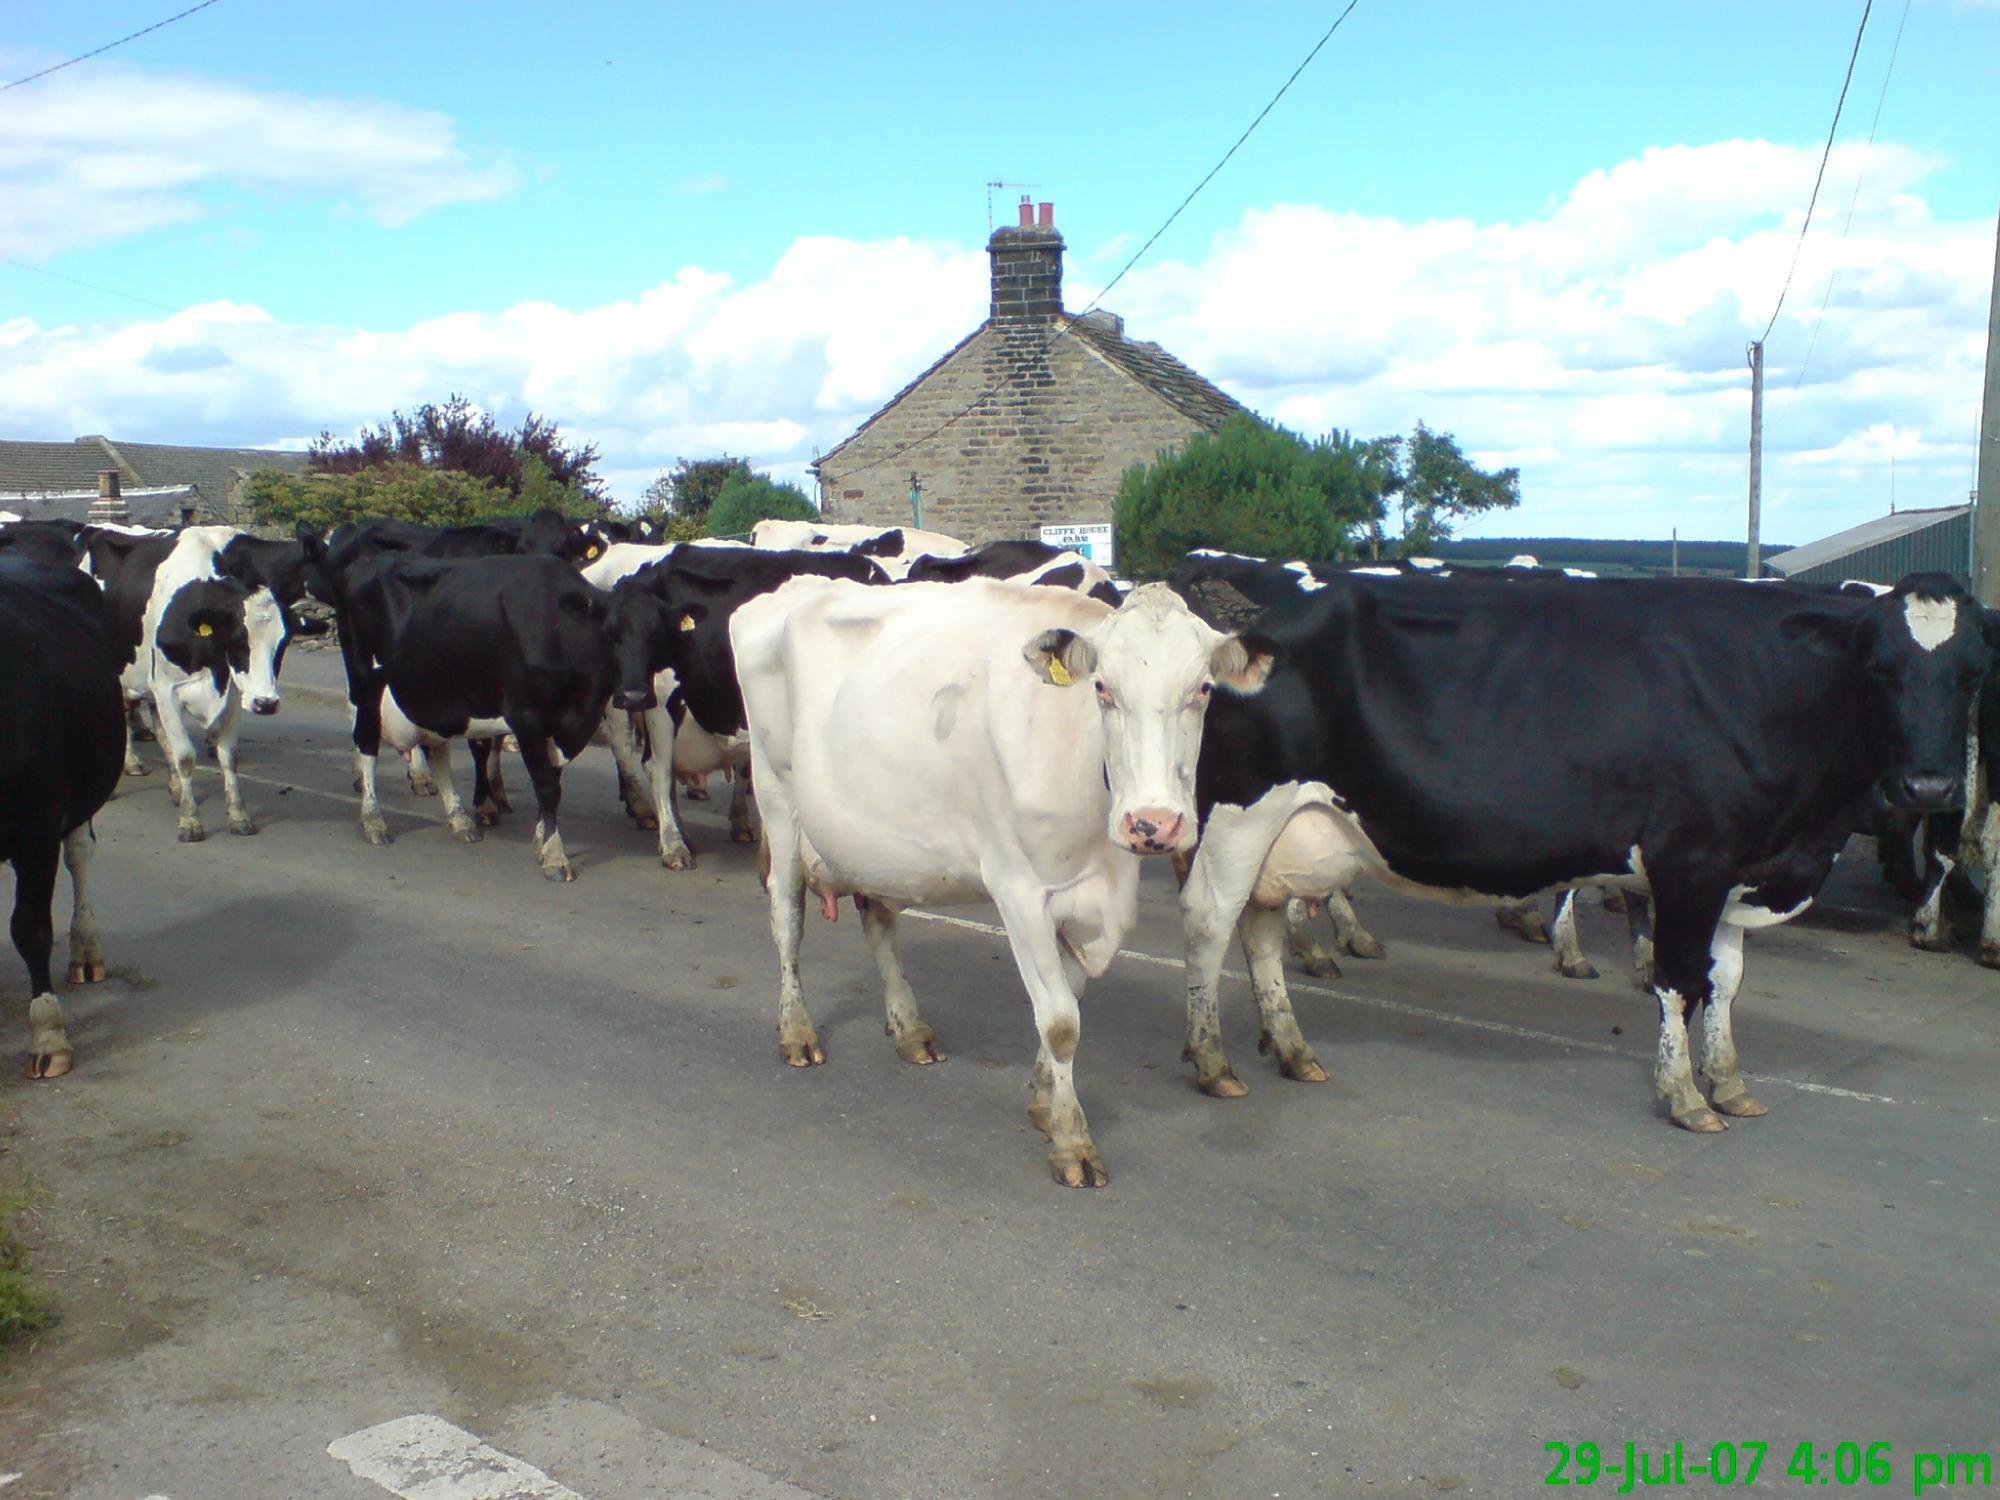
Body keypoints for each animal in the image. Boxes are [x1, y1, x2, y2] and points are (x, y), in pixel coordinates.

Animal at [301, 535, 614, 880]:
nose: (636, 694)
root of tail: (369, 563)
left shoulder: (560, 726)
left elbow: (550, 779)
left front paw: (541, 839)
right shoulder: (527, 718)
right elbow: (546, 786)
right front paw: (554, 855)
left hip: (431, 692)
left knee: (436, 748)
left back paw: (459, 818)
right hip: (365, 678)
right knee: (366, 739)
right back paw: (373, 820)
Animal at [732, 577, 1275, 1187]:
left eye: (1203, 688)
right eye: (1102, 687)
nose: (1153, 823)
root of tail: (798, 584)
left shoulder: (1096, 901)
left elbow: (1069, 1000)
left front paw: (1043, 1100)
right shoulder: (1020, 891)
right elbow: (1061, 1021)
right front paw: (1072, 1139)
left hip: (877, 843)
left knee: (878, 919)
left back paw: (909, 1028)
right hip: (776, 793)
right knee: (787, 916)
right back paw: (797, 1032)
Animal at [1178, 570, 1995, 1134]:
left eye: (1971, 673)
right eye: (1878, 670)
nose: (1928, 785)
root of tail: (1253, 627)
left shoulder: (1742, 871)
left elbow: (1726, 983)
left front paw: (1730, 1082)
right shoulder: (1690, 861)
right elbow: (1679, 982)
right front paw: (1685, 1096)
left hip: (1280, 836)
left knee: (1260, 932)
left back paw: (1291, 1049)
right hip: (1236, 813)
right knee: (1210, 927)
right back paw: (1212, 1059)